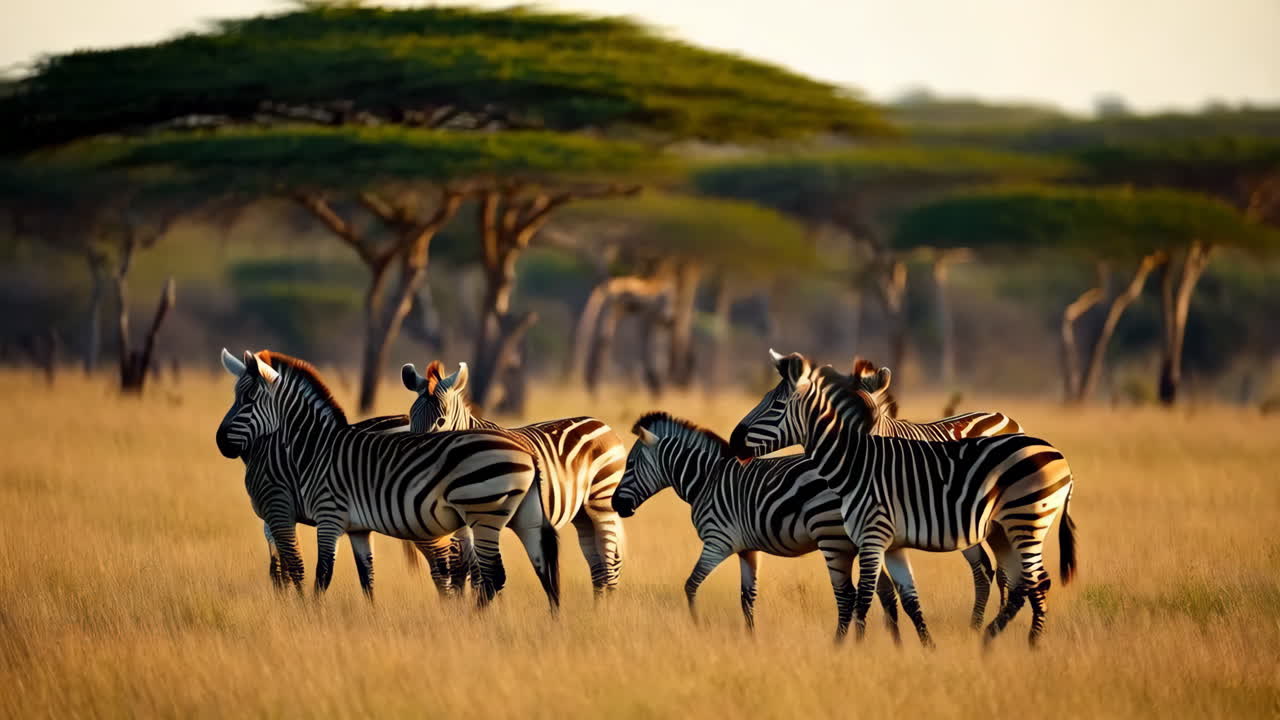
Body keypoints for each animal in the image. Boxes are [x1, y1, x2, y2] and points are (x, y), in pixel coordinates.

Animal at [402, 361, 626, 597]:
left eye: (441, 420)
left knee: (609, 565)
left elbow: (479, 570)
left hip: (601, 502)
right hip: (583, 514)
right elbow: (468, 568)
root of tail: (601, 424)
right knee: (599, 568)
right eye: (411, 417)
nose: (414, 456)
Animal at [613, 412, 903, 642]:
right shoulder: (748, 549)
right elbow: (747, 598)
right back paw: (893, 645)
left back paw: (842, 645)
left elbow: (691, 585)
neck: (706, 480)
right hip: (859, 541)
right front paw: (752, 640)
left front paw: (697, 627)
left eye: (630, 465)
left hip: (832, 538)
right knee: (884, 593)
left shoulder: (718, 541)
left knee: (848, 596)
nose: (616, 504)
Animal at [729, 350, 1078, 646]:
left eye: (776, 406)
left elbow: (872, 593)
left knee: (997, 573)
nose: (733, 440)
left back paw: (995, 631)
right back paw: (988, 628)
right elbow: (888, 593)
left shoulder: (869, 534)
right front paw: (894, 639)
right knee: (1001, 573)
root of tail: (1001, 415)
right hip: (995, 526)